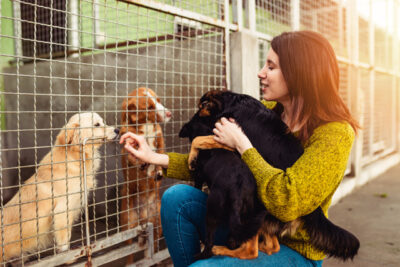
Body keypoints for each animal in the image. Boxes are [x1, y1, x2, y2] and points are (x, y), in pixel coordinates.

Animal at [0, 113, 119, 264]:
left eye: (103, 122)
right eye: (97, 124)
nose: (118, 130)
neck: (75, 156)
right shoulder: (62, 211)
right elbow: (64, 241)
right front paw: (68, 257)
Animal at [118, 87, 170, 264]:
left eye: (160, 101)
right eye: (149, 107)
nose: (169, 114)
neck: (145, 126)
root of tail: (143, 217)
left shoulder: (160, 138)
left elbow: (160, 152)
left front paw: (158, 170)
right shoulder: (127, 143)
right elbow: (131, 156)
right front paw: (140, 162)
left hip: (158, 224)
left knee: (154, 246)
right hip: (128, 224)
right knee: (129, 252)